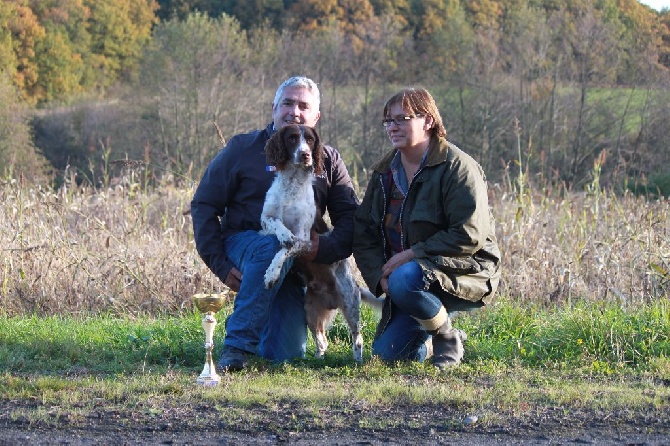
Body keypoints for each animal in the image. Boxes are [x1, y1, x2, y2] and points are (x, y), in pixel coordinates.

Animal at [262, 124, 378, 362]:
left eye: (310, 139)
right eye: (292, 138)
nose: (305, 155)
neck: (292, 183)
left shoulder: (304, 239)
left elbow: (283, 250)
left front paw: (271, 274)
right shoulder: (266, 218)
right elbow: (277, 225)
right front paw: (282, 235)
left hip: (350, 304)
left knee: (358, 337)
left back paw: (357, 360)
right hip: (310, 311)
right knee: (322, 340)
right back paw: (316, 358)